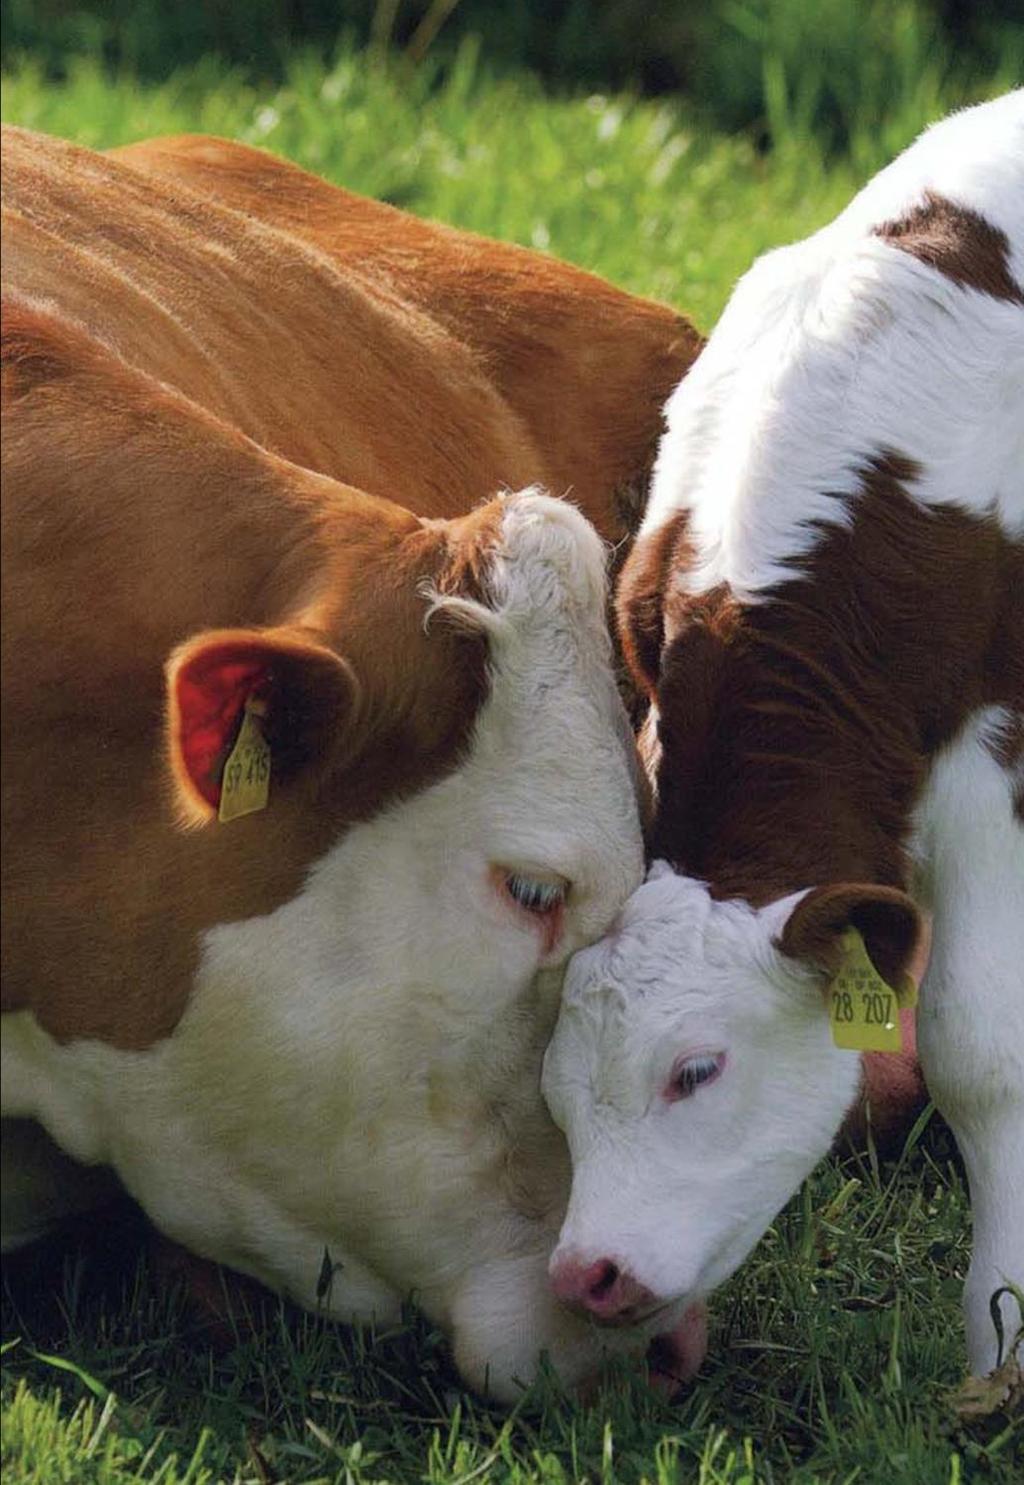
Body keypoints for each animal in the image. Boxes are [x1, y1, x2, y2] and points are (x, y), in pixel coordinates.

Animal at [537, 89, 1015, 1366]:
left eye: (696, 1071)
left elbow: (978, 1047)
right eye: (555, 1093)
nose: (586, 1273)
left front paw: (997, 1344)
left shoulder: (990, 753)